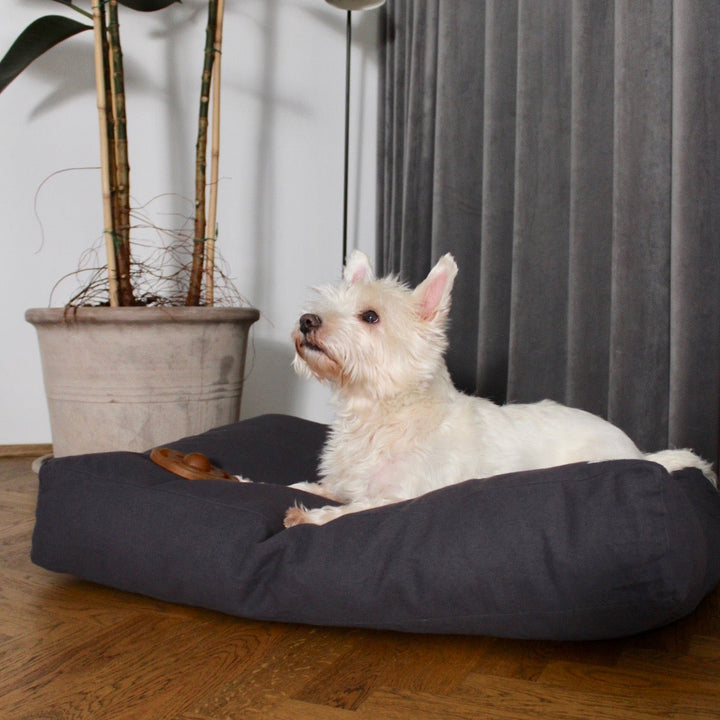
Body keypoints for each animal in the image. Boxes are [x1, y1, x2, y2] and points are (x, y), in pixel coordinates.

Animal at [286, 250, 716, 524]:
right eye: (327, 305)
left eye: (370, 316)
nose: (307, 321)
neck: (380, 411)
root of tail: (642, 455)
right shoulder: (350, 483)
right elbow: (322, 487)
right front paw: (288, 485)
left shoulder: (402, 495)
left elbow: (353, 510)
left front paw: (308, 517)